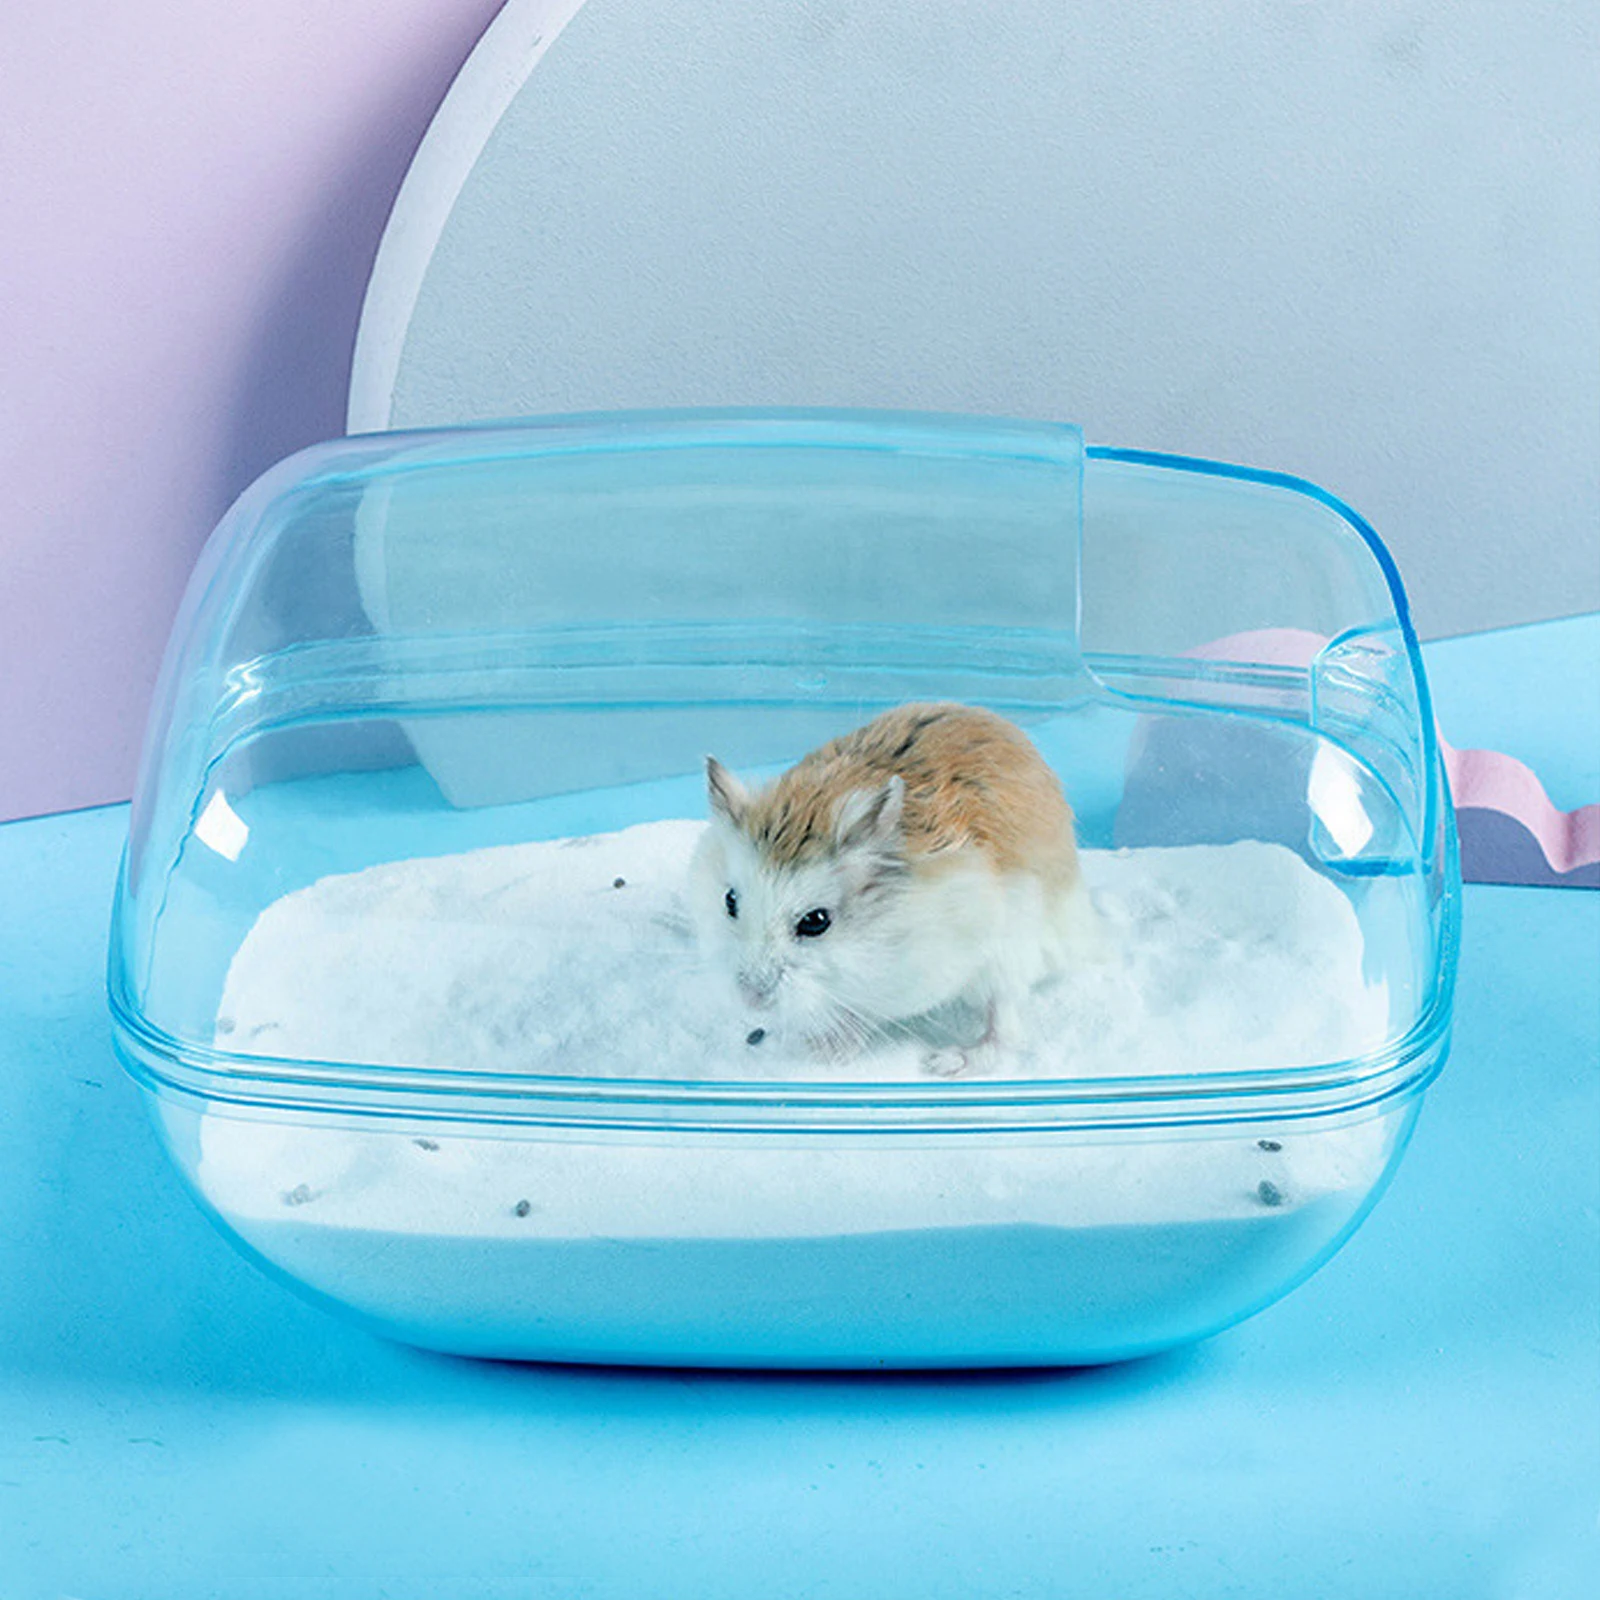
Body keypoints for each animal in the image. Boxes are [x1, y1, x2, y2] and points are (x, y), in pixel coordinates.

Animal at [688, 702, 1097, 1075]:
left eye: (816, 921)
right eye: (730, 901)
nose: (750, 999)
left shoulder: (920, 975)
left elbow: (867, 1009)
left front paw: (825, 1051)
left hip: (1010, 958)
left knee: (1006, 1033)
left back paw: (945, 1063)